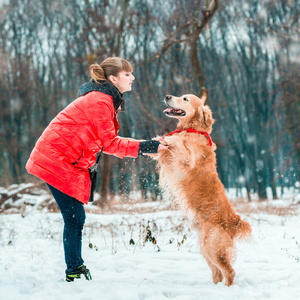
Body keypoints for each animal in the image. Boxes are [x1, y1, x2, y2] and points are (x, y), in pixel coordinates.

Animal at [152, 93, 251, 286]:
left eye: (185, 99)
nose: (167, 96)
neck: (193, 129)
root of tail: (234, 222)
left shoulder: (187, 158)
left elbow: (177, 142)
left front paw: (169, 138)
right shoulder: (165, 154)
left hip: (213, 247)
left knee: (229, 272)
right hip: (206, 247)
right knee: (217, 273)